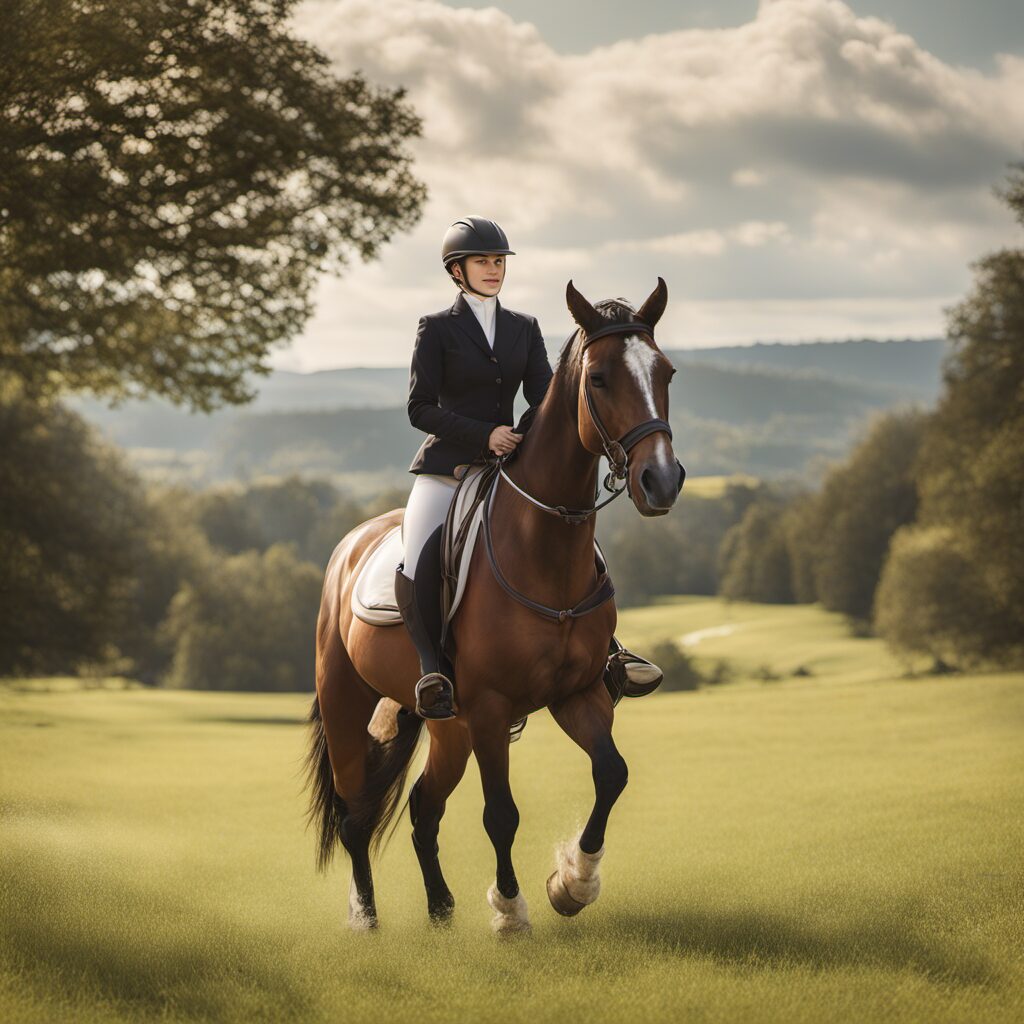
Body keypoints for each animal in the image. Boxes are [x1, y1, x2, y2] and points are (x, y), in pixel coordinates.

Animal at [305, 277, 683, 933]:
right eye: (599, 378)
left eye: (665, 371)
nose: (661, 481)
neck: (546, 550)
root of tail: (350, 545)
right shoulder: (488, 706)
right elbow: (500, 814)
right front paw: (510, 911)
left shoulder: (578, 693)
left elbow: (611, 774)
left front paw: (572, 883)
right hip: (349, 706)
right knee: (355, 817)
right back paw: (367, 918)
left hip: (448, 728)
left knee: (423, 808)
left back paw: (440, 910)